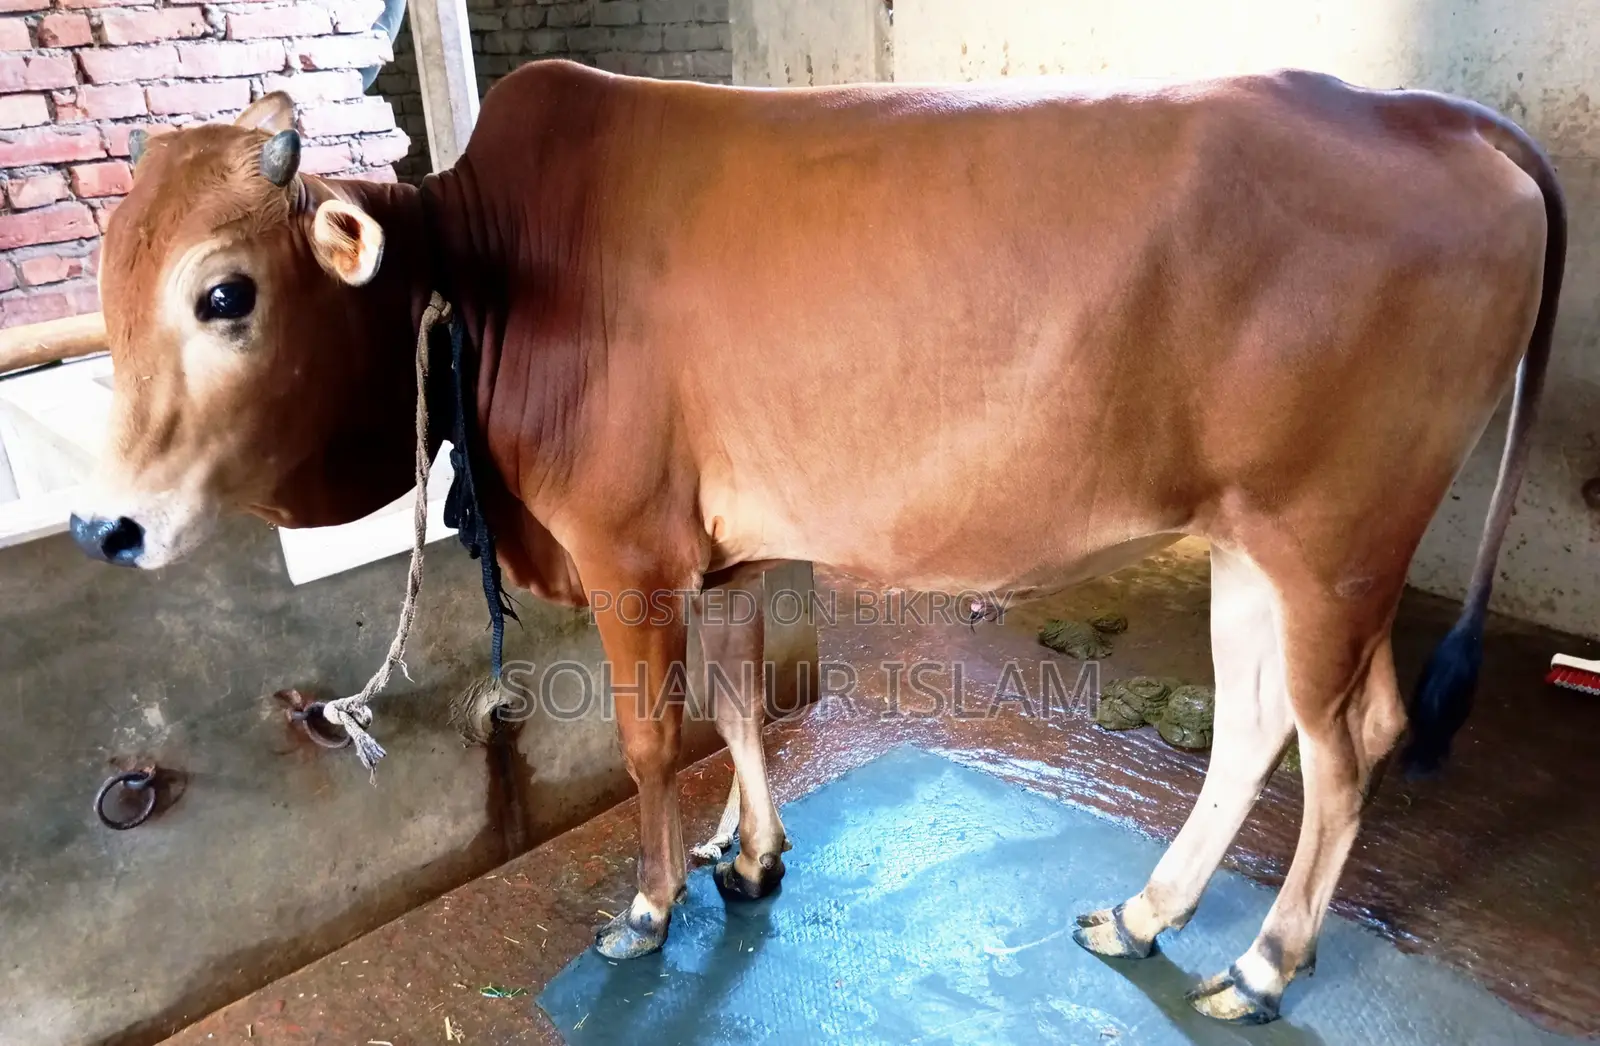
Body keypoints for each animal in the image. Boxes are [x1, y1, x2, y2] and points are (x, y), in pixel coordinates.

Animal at [59, 60, 1561, 1024]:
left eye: (226, 292)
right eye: (109, 287)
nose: (99, 521)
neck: (488, 275)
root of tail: (1424, 113)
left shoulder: (627, 550)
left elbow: (652, 737)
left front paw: (650, 904)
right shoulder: (730, 549)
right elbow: (735, 702)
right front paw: (751, 858)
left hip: (1334, 542)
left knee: (1346, 743)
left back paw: (1261, 963)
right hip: (1256, 541)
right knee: (1257, 725)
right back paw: (1145, 911)